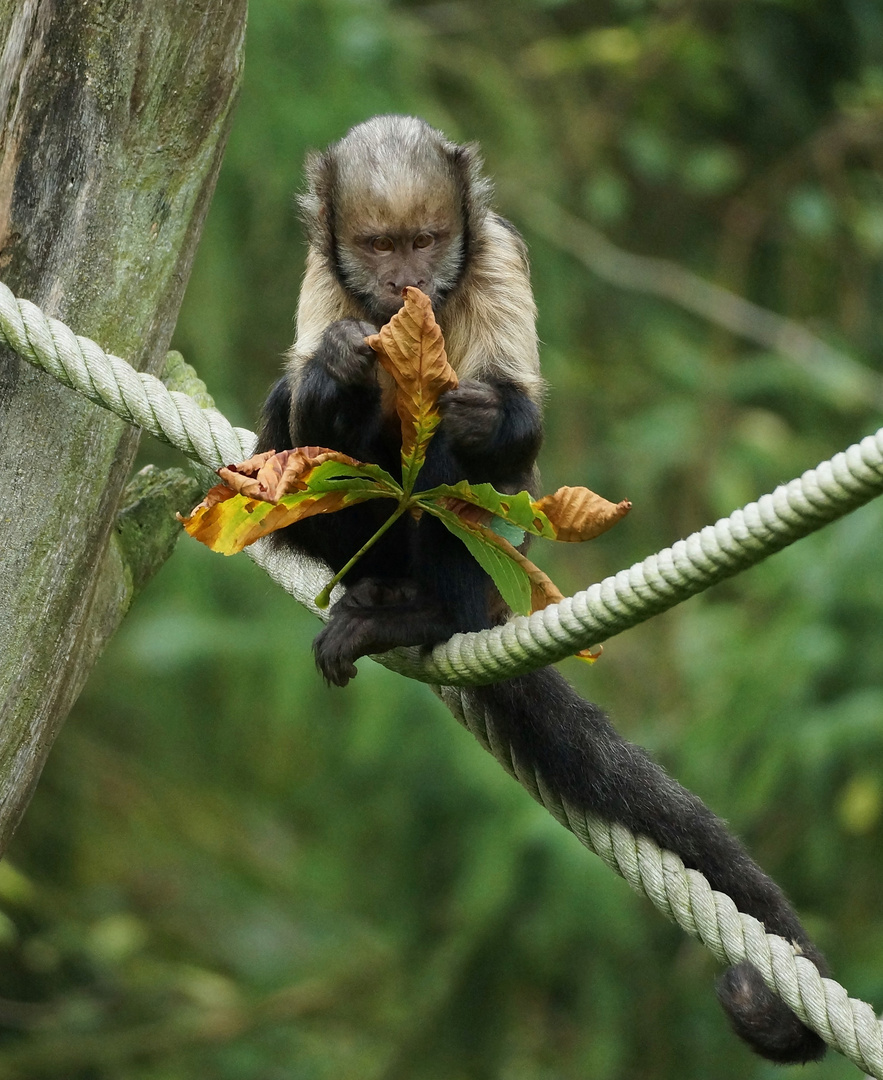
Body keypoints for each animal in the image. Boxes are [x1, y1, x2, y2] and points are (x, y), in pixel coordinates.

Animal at [252, 113, 824, 1058]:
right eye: (377, 246)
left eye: (425, 241)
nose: (404, 281)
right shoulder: (321, 270)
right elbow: (306, 412)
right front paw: (337, 366)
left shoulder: (496, 255)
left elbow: (506, 439)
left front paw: (486, 415)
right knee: (300, 427)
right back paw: (375, 585)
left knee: (450, 475)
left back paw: (420, 615)